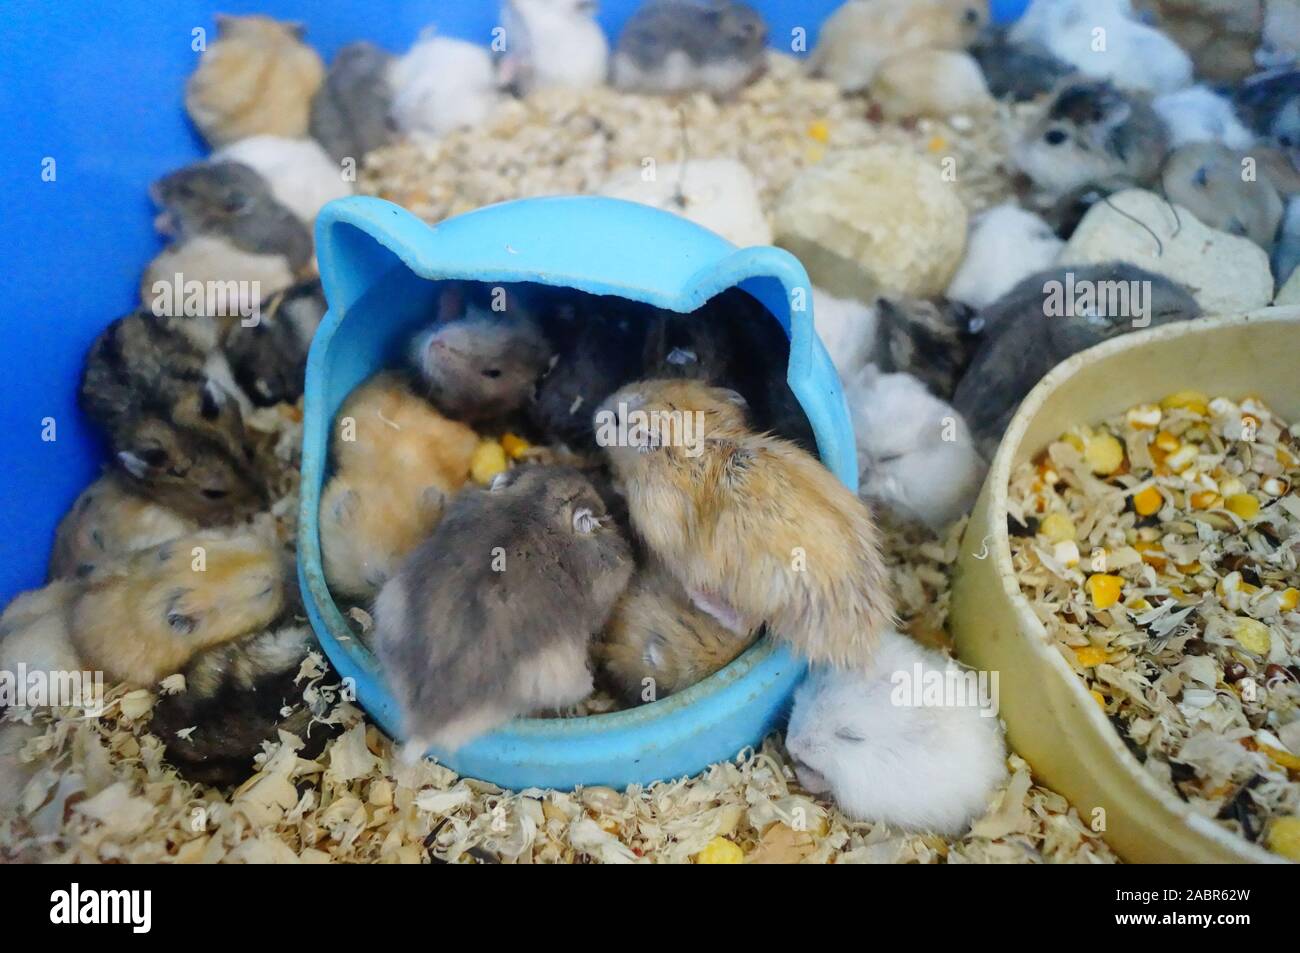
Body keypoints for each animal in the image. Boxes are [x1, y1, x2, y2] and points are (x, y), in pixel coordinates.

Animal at [150, 160, 313, 273]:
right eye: (183, 169)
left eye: (187, 192)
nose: (151, 187)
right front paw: (159, 222)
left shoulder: (192, 229)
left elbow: (180, 234)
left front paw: (168, 238)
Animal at [600, 379, 893, 669]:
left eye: (615, 420)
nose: (598, 408)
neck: (698, 440)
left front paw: (616, 483)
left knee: (748, 625)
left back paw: (699, 595)